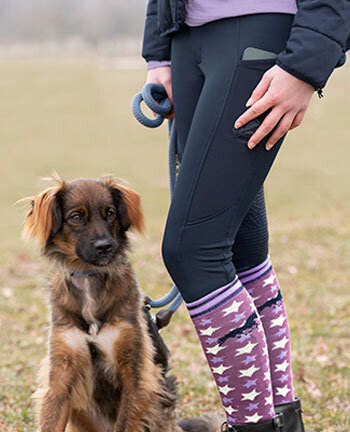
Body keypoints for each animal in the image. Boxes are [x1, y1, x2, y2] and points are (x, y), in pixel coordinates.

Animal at [21, 175, 221, 432]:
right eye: (76, 217)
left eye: (110, 213)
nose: (105, 246)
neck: (90, 277)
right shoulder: (62, 373)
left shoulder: (135, 373)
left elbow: (126, 420)